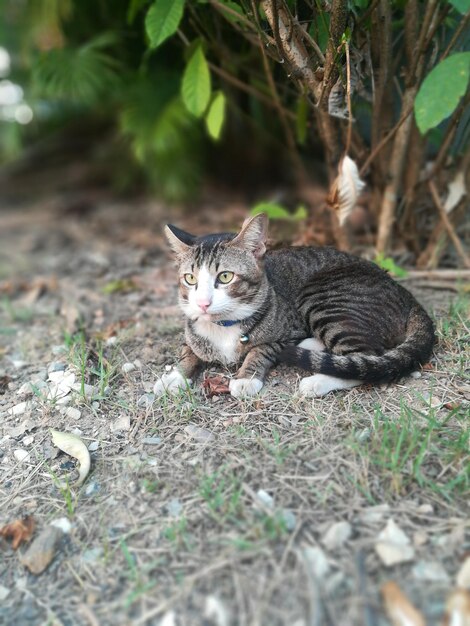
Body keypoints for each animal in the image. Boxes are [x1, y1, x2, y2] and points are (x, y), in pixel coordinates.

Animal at [155, 214, 436, 398]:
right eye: (190, 279)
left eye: (225, 277)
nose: (203, 303)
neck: (223, 325)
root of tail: (405, 293)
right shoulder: (191, 331)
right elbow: (188, 351)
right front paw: (175, 377)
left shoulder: (285, 333)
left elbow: (261, 349)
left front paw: (246, 378)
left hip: (322, 297)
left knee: (364, 360)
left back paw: (316, 381)